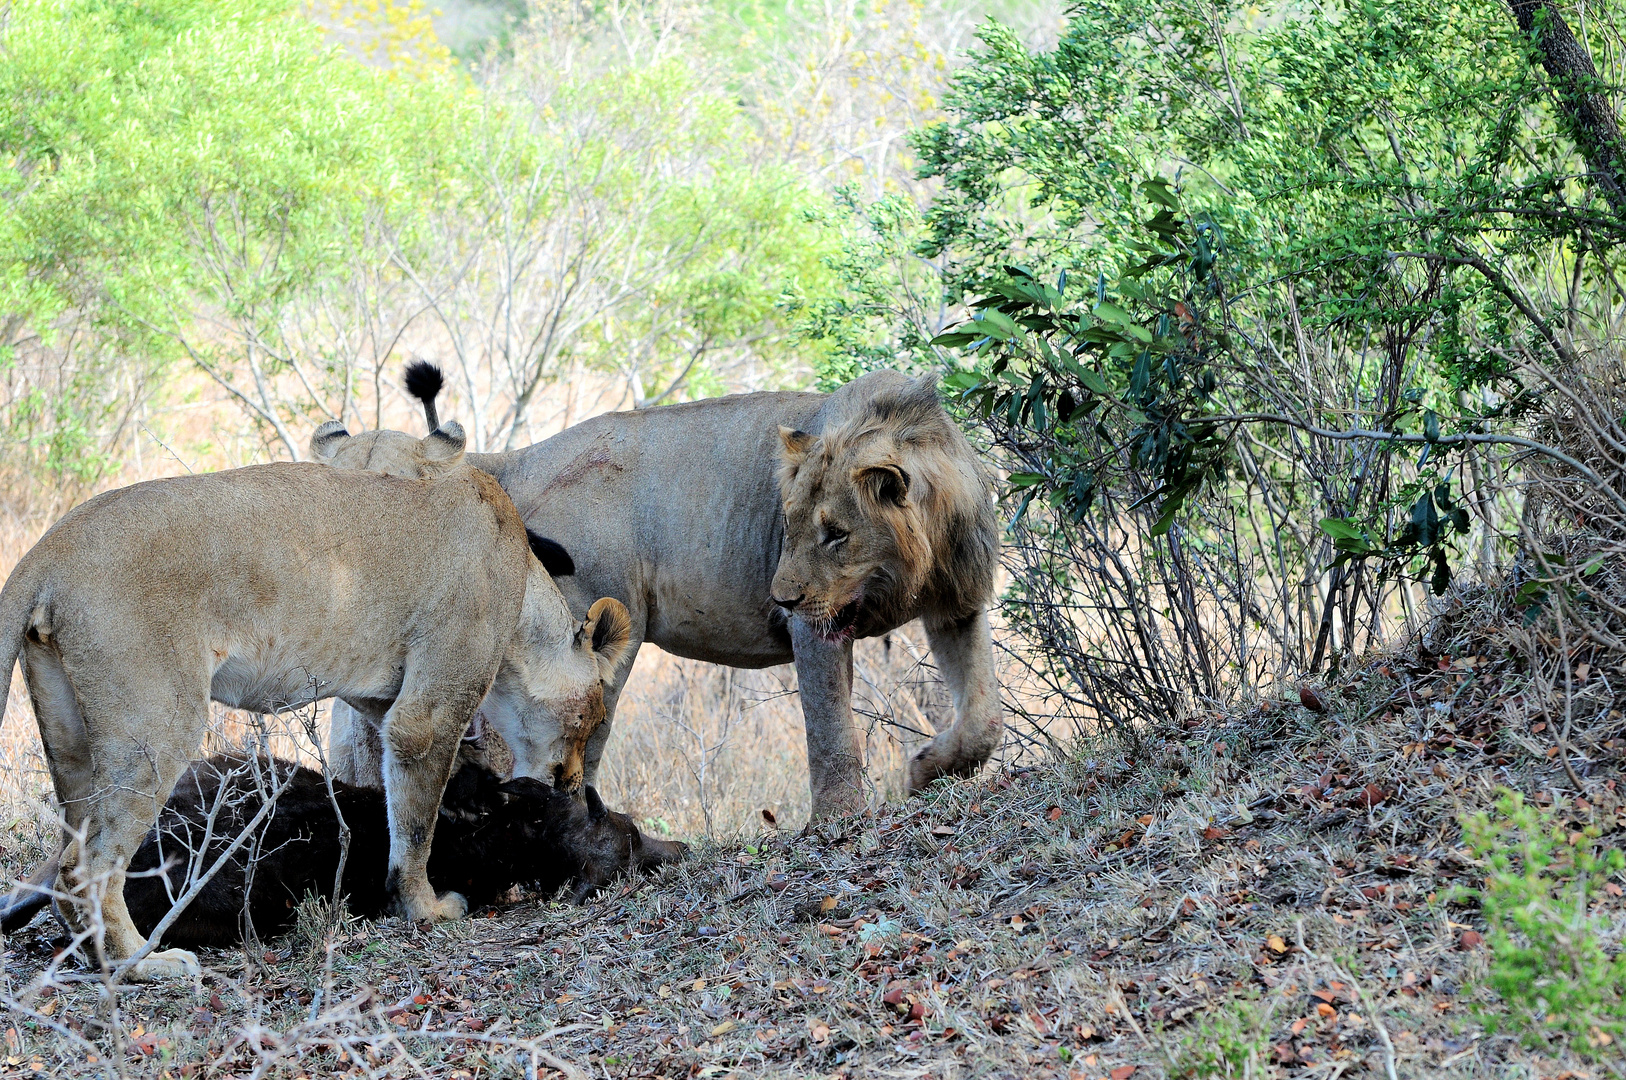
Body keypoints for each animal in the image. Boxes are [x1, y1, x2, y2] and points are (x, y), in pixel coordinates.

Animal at [0, 422, 627, 975]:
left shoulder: (382, 700)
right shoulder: (428, 710)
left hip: (72, 738)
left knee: (69, 853)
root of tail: (48, 548)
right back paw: (140, 963)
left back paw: (96, 954)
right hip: (157, 728)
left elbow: (414, 796)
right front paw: (426, 907)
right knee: (85, 867)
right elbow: (416, 826)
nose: (573, 784)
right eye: (592, 716)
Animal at [318, 367, 995, 813]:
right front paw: (842, 821)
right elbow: (830, 733)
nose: (779, 598)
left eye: (836, 534)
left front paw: (927, 769)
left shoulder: (959, 606)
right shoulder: (816, 627)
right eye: (791, 523)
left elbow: (983, 721)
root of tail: (514, 461)